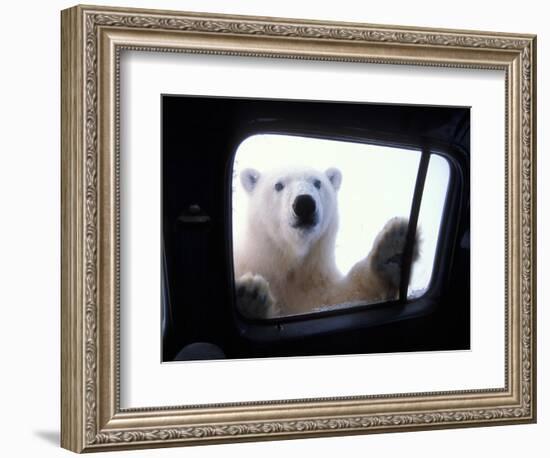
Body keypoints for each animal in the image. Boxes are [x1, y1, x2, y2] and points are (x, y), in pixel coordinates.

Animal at [233, 165, 418, 318]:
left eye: (317, 182)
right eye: (278, 185)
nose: (304, 203)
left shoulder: (314, 283)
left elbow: (344, 296)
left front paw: (391, 252)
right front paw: (250, 294)